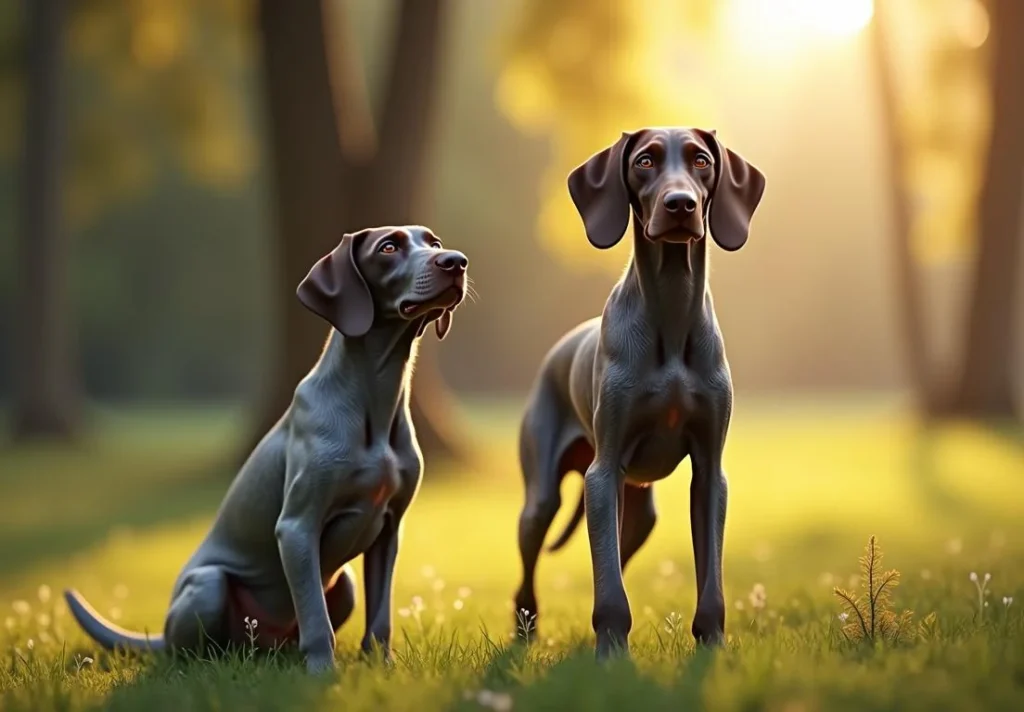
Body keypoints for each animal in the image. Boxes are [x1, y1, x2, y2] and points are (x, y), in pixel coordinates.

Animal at [68, 224, 471, 672]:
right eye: (388, 247)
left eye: (434, 244)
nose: (456, 261)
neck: (375, 404)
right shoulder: (297, 526)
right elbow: (316, 619)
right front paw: (323, 674)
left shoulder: (389, 530)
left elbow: (379, 618)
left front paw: (381, 669)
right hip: (209, 585)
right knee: (190, 648)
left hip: (343, 585)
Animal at [516, 126, 765, 655]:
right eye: (645, 161)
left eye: (701, 161)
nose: (680, 204)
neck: (671, 311)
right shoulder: (604, 471)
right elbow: (608, 586)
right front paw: (611, 656)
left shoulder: (709, 473)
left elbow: (708, 581)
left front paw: (712, 647)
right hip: (543, 498)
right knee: (532, 572)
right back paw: (525, 631)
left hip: (638, 513)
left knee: (616, 556)